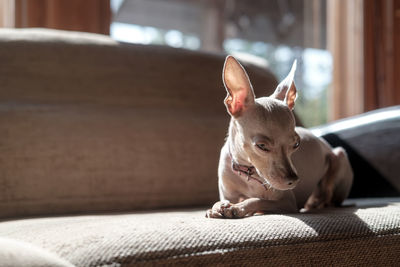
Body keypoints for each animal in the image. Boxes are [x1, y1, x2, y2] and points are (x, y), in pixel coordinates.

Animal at [206, 56, 354, 220]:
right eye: (262, 146)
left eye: (296, 144)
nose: (293, 181)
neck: (248, 171)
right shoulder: (228, 195)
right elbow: (221, 202)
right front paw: (218, 207)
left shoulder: (288, 202)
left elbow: (257, 200)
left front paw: (238, 208)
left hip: (338, 156)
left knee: (327, 196)